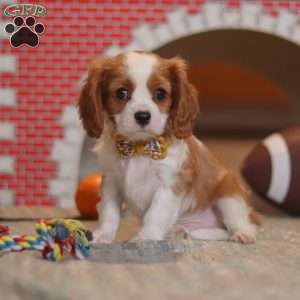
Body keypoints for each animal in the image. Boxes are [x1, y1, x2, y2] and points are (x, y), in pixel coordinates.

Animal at [78, 51, 258, 244]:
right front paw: (103, 235)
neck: (139, 147)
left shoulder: (169, 183)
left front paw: (146, 238)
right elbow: (108, 212)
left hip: (229, 194)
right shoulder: (111, 181)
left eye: (160, 93)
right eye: (121, 93)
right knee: (215, 232)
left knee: (235, 223)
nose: (143, 116)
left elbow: (155, 213)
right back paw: (180, 232)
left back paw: (243, 233)